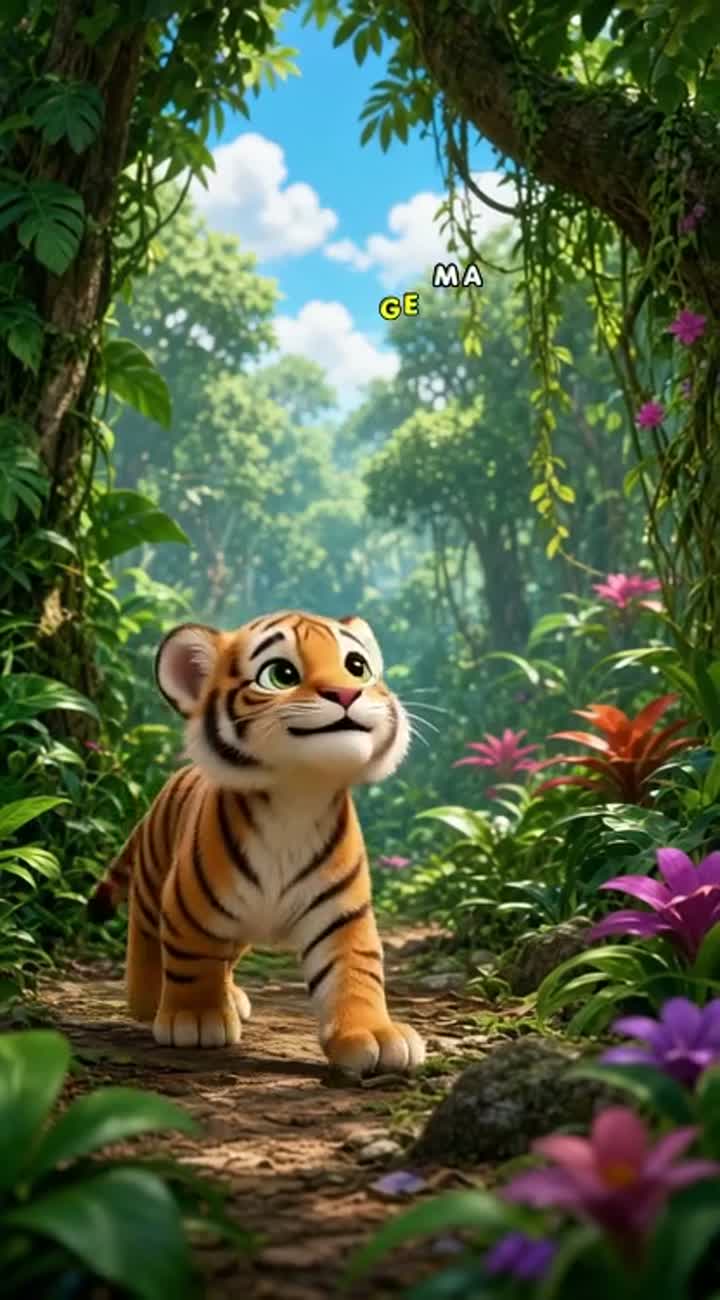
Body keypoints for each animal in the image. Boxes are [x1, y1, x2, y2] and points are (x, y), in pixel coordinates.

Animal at [87, 609, 425, 1076]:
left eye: (356, 666)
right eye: (281, 674)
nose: (346, 691)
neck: (299, 793)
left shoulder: (342, 915)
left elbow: (357, 972)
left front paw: (373, 1034)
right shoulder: (191, 910)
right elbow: (190, 963)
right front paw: (196, 1018)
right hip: (155, 881)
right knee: (146, 934)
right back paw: (148, 998)